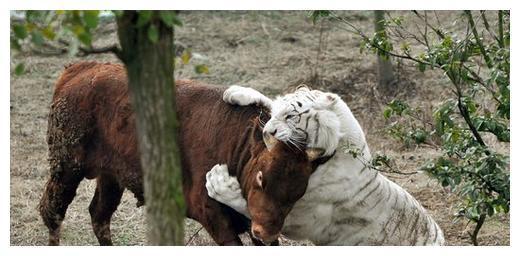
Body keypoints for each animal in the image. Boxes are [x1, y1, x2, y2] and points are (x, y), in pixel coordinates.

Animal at [206, 85, 442, 245]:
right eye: (278, 113)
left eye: (290, 116)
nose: (267, 131)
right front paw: (237, 92)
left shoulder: (301, 215)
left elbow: (251, 206)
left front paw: (217, 182)